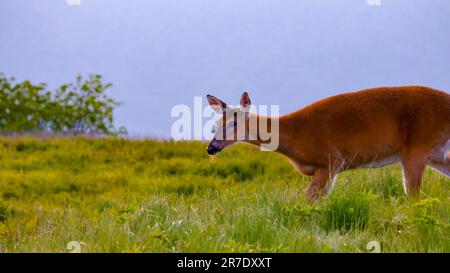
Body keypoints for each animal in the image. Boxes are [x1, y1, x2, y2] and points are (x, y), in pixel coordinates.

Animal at [207, 86, 450, 201]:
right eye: (217, 122)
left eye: (235, 122)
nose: (211, 147)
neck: (292, 137)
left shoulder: (330, 161)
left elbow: (306, 201)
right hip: (437, 154)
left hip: (416, 148)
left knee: (413, 197)